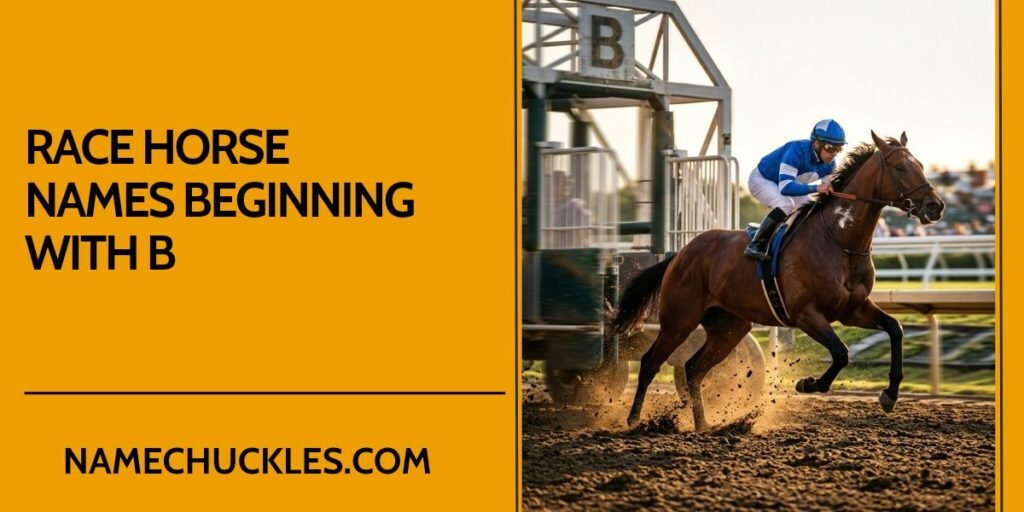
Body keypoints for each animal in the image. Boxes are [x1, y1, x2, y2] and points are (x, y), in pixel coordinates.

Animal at [612, 131, 945, 432]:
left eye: (921, 165)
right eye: (900, 168)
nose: (936, 206)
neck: (839, 241)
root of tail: (681, 253)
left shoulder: (854, 310)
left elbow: (895, 328)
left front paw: (889, 394)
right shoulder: (805, 313)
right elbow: (841, 353)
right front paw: (808, 384)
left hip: (728, 327)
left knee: (693, 369)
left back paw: (703, 424)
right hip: (679, 319)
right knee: (650, 362)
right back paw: (634, 420)